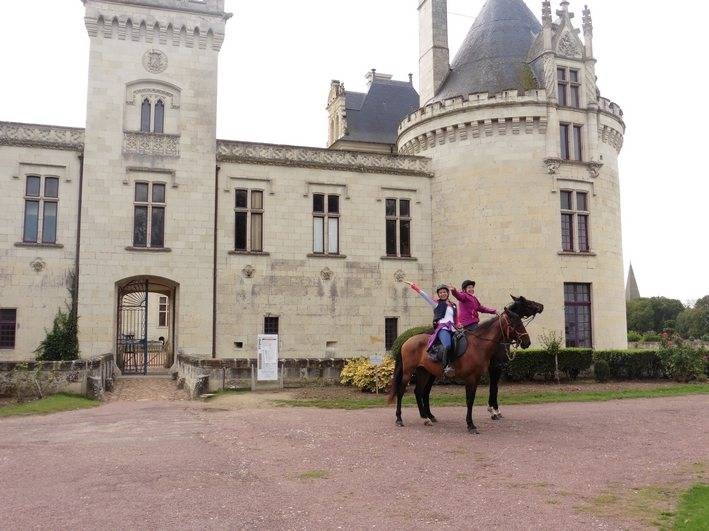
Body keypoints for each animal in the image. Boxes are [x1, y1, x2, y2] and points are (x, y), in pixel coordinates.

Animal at [388, 298, 544, 434]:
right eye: (514, 324)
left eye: (521, 321)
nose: (527, 342)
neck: (479, 344)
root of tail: (406, 341)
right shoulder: (475, 376)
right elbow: (472, 399)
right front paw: (473, 423)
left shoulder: (478, 376)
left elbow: (480, 396)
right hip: (409, 372)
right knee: (402, 391)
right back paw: (399, 418)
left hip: (424, 372)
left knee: (419, 392)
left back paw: (426, 418)